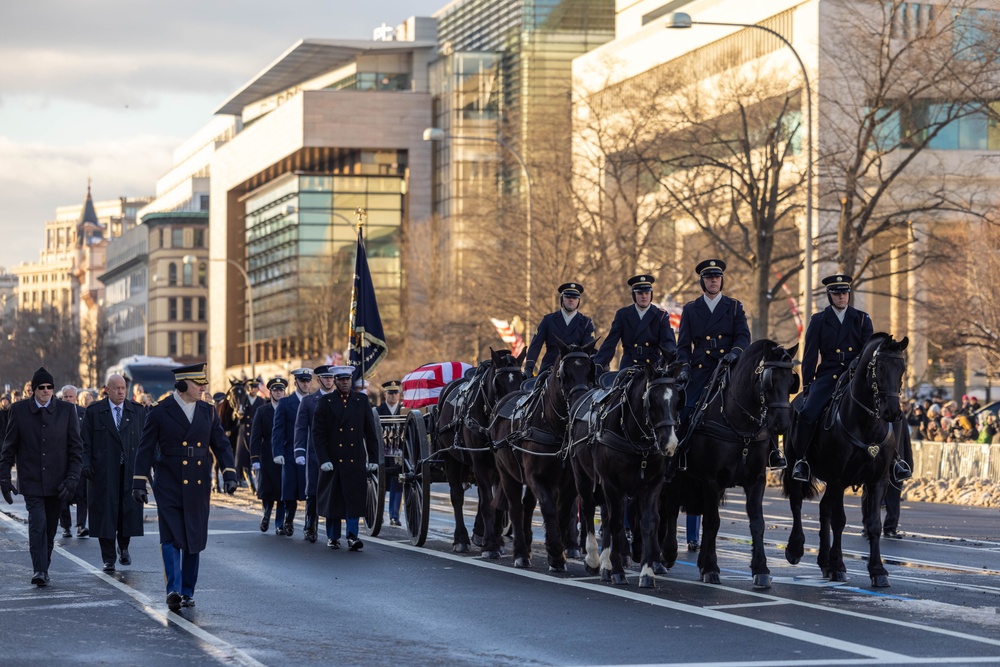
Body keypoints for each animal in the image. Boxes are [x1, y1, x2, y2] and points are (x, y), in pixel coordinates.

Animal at [428, 350, 528, 560]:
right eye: (498, 383)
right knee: (457, 496)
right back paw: (460, 539)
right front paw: (490, 546)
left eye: (521, 379)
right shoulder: (481, 464)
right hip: (451, 459)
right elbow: (487, 504)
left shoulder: (499, 467)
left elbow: (496, 504)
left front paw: (495, 541)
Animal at [490, 342, 592, 572]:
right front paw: (554, 552)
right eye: (564, 374)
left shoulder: (570, 483)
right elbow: (549, 509)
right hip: (507, 474)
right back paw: (520, 552)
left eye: (590, 370)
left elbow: (563, 513)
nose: (578, 405)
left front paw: (558, 552)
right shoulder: (537, 478)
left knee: (527, 506)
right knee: (516, 508)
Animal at [572, 358, 688, 588]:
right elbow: (616, 523)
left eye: (677, 400)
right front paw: (617, 571)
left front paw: (647, 573)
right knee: (589, 510)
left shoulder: (652, 485)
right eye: (652, 400)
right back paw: (594, 559)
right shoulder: (612, 484)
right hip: (583, 477)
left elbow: (649, 523)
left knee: (605, 515)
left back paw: (605, 564)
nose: (670, 444)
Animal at [664, 342, 796, 588]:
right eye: (770, 380)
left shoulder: (756, 481)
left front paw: (761, 569)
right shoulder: (712, 480)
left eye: (791, 380)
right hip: (674, 476)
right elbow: (713, 522)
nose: (782, 424)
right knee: (670, 510)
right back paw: (665, 555)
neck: (740, 425)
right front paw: (711, 567)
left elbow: (757, 523)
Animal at [784, 332, 912, 588]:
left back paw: (824, 562)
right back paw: (796, 549)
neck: (865, 423)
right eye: (880, 367)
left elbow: (873, 525)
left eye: (902, 368)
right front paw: (839, 566)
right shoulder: (838, 479)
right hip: (796, 467)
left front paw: (878, 570)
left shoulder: (878, 481)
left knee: (824, 509)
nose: (893, 412)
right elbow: (839, 521)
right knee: (797, 503)